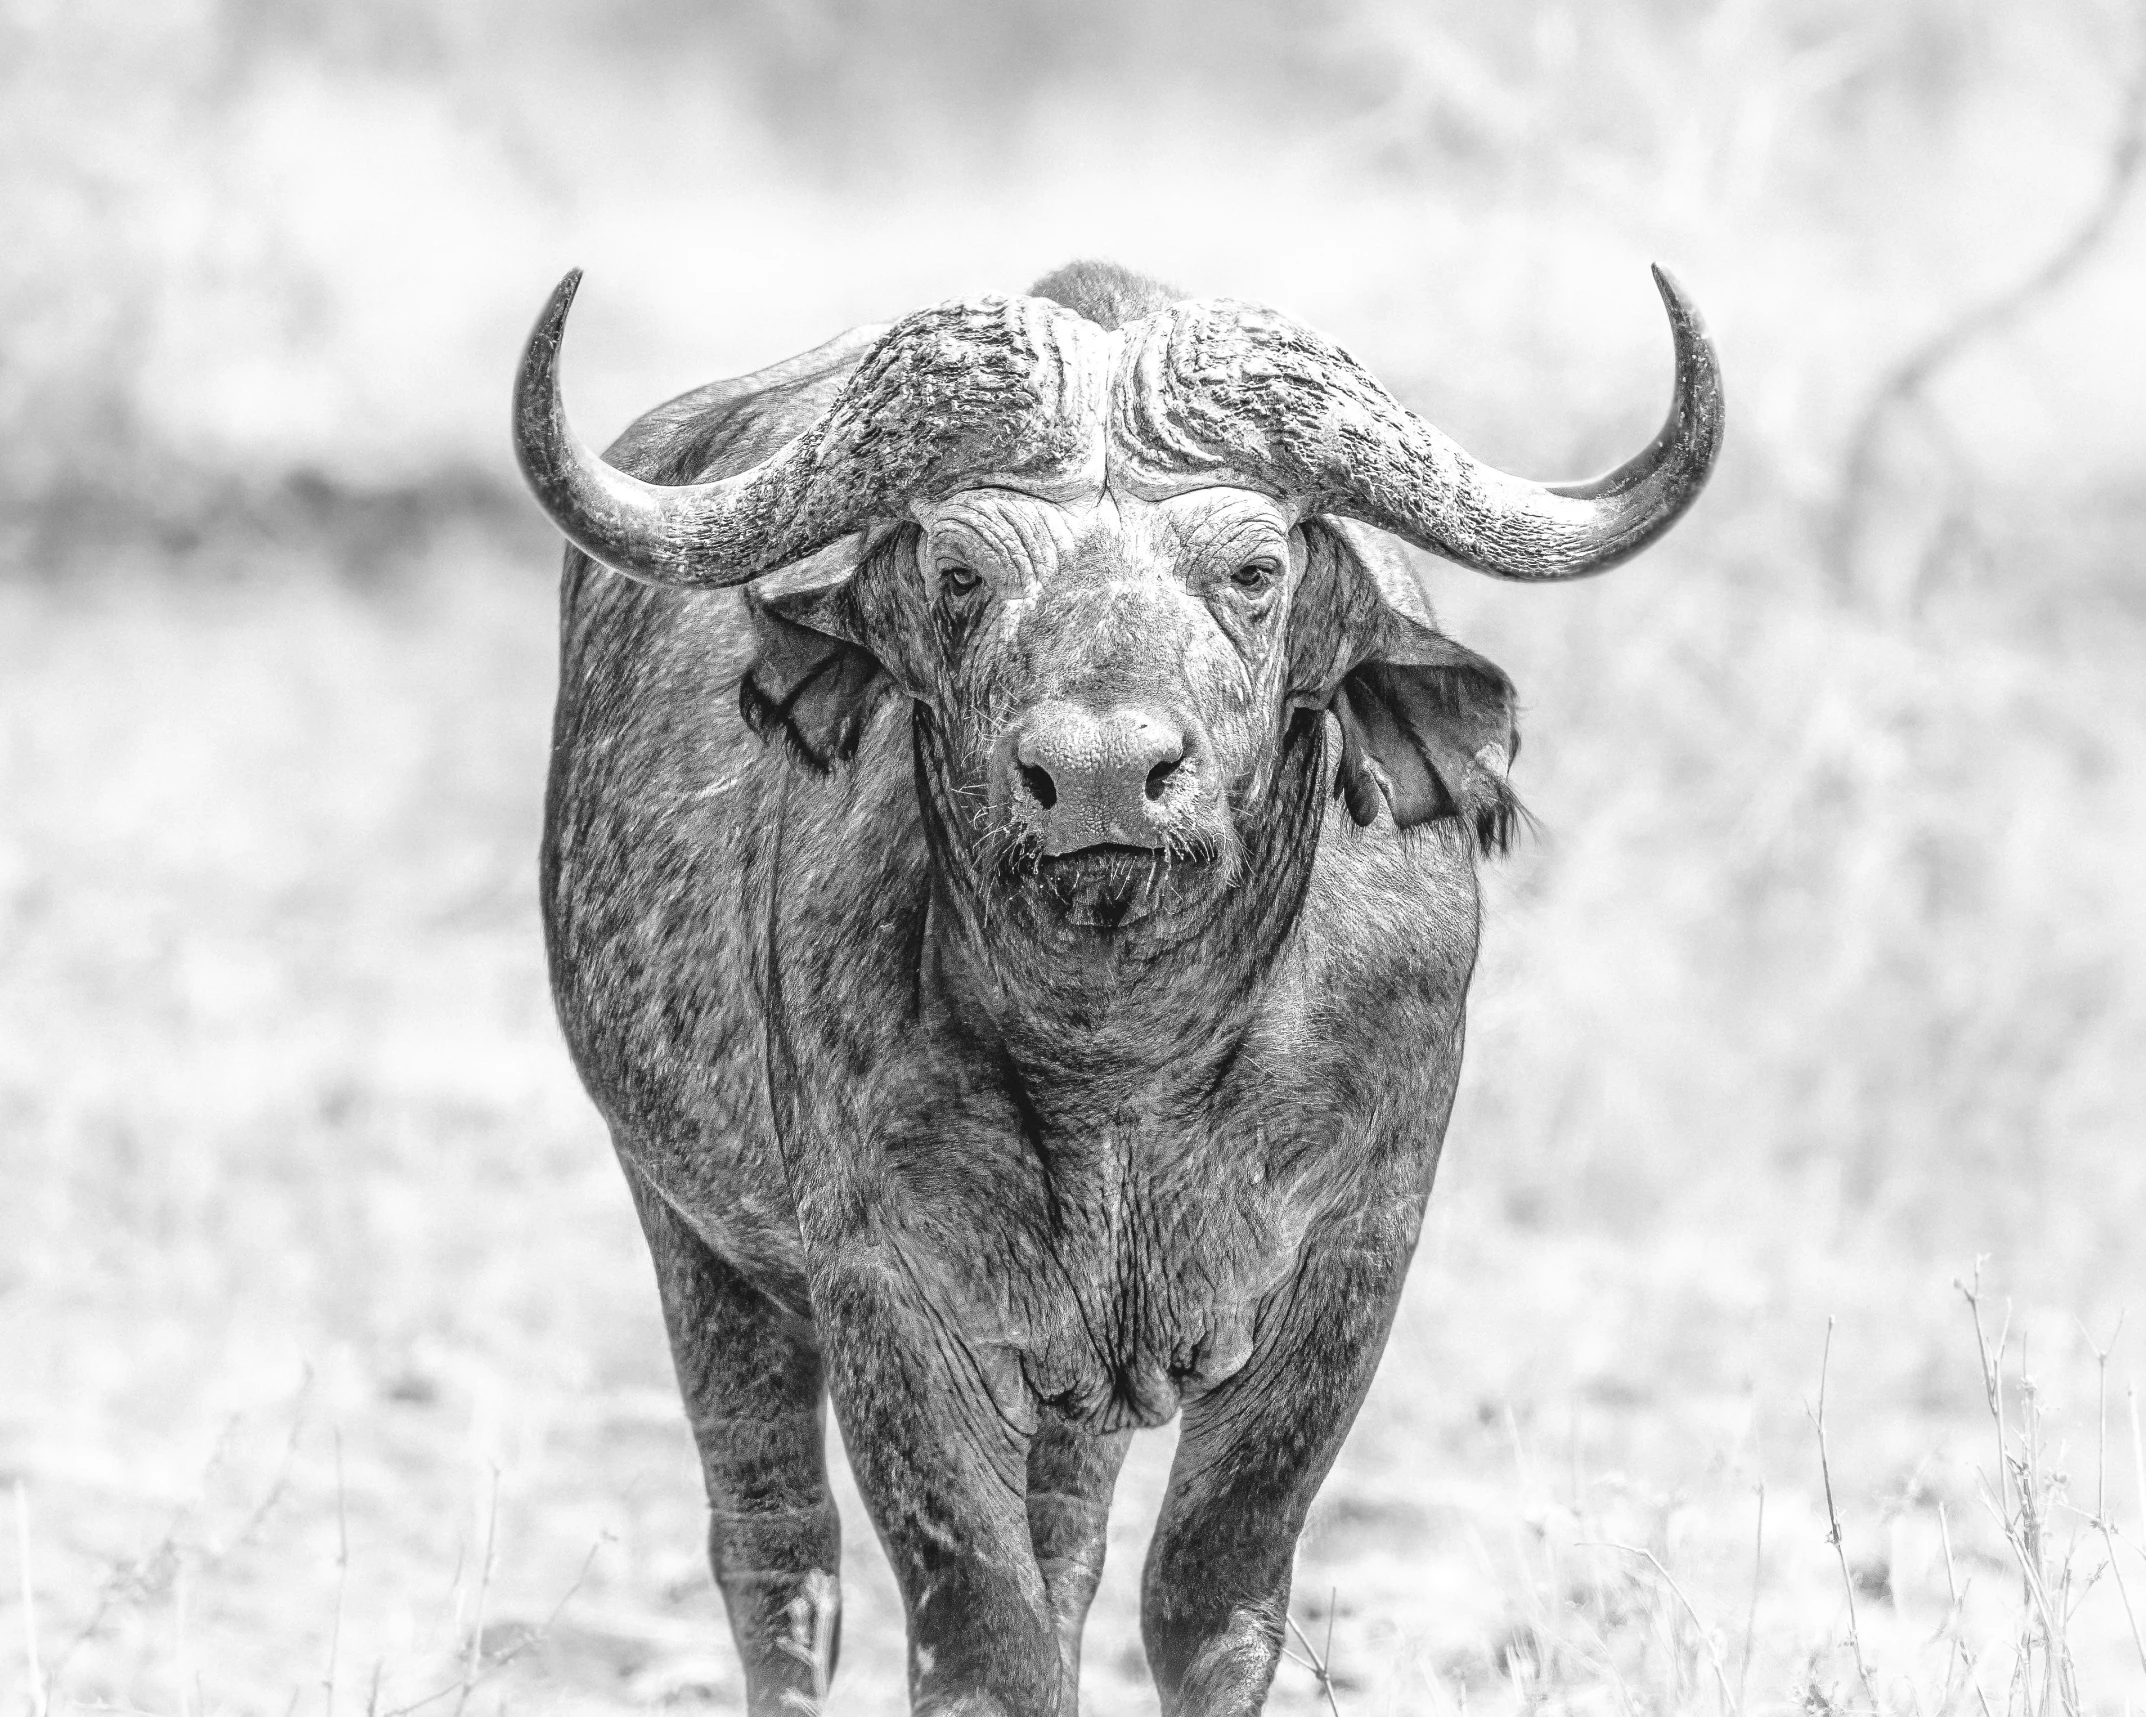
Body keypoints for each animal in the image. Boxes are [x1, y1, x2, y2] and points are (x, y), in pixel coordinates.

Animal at [515, 258, 1725, 1717]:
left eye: (1254, 570)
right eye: (958, 570)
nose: (1098, 778)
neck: (1119, 1064)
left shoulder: (1351, 1264)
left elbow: (1206, 1591)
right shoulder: (884, 1290)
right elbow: (981, 1633)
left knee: (1066, 1550)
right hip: (690, 1231)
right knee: (776, 1552)